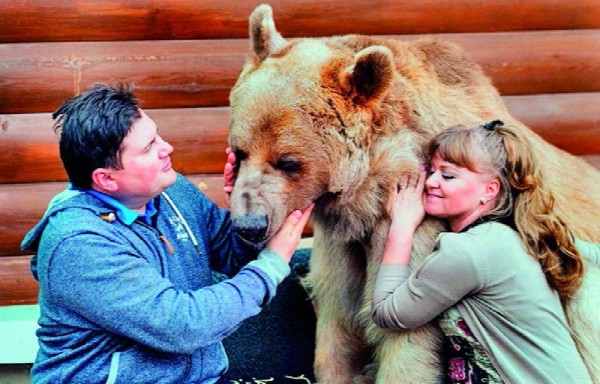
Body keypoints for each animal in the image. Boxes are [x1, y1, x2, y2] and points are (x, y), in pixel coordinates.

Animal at [226, 3, 600, 384]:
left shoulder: (420, 226)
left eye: (288, 161)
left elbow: (404, 333)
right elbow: (338, 317)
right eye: (239, 152)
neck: (368, 193)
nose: (250, 225)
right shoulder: (342, 243)